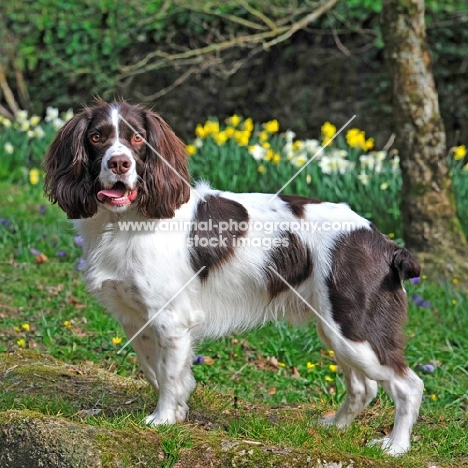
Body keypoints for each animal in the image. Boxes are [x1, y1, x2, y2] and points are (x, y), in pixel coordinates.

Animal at [44, 100, 424, 456]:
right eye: (97, 137)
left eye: (137, 138)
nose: (119, 164)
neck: (125, 222)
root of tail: (384, 243)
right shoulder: (136, 319)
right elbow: (157, 370)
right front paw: (178, 409)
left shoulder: (172, 319)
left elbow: (167, 373)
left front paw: (162, 419)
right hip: (336, 328)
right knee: (364, 386)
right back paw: (335, 426)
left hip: (354, 328)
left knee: (409, 385)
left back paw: (395, 446)